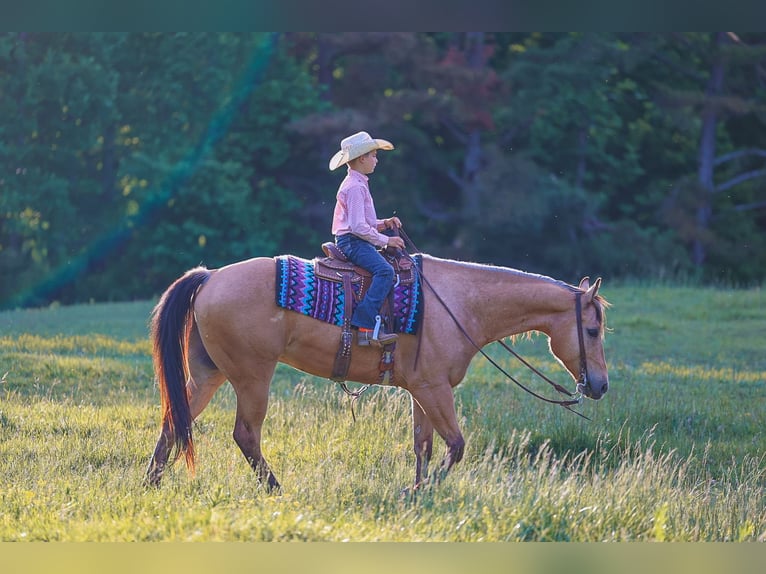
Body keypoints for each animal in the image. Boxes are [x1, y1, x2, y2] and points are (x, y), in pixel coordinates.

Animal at [144, 252, 610, 492]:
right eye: (592, 329)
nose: (600, 385)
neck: (459, 304)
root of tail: (209, 277)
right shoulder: (434, 388)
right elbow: (456, 445)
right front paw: (421, 490)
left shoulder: (421, 390)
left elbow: (423, 446)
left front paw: (418, 493)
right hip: (252, 376)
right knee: (245, 434)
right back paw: (276, 488)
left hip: (208, 374)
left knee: (174, 420)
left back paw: (152, 482)